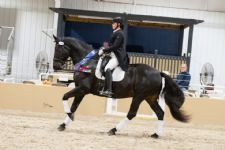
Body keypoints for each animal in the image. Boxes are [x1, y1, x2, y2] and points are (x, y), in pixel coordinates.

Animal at [52, 35, 188, 138]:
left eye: (58, 49)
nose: (55, 66)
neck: (87, 63)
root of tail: (159, 73)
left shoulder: (82, 89)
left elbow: (64, 96)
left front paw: (69, 116)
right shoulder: (81, 91)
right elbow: (74, 106)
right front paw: (64, 123)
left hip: (139, 96)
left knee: (131, 113)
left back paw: (113, 130)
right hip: (150, 98)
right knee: (160, 113)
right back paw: (156, 134)